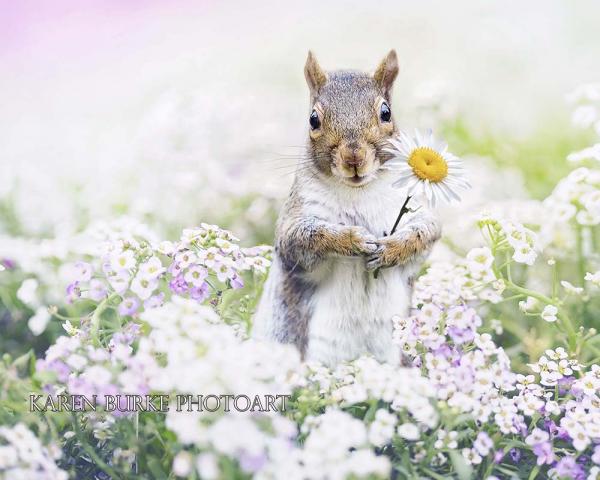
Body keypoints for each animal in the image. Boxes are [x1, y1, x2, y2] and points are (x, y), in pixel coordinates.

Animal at [253, 51, 440, 368]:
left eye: (386, 112)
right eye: (313, 119)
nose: (354, 157)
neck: (358, 191)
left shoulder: (414, 206)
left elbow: (426, 232)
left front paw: (391, 249)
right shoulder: (295, 220)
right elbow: (302, 239)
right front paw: (352, 240)